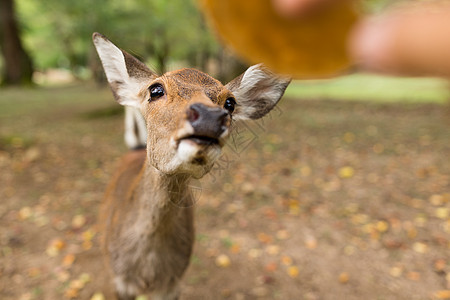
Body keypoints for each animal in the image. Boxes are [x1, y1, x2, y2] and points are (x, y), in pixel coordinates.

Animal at [92, 32, 290, 300]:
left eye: (230, 102)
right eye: (156, 89)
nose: (209, 116)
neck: (148, 272)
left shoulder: (172, 285)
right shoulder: (111, 280)